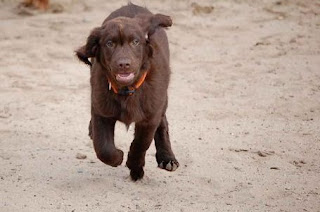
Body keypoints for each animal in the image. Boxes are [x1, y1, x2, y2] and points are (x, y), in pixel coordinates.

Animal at [76, 3, 179, 180]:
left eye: (135, 42)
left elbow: (141, 143)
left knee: (163, 122)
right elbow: (103, 147)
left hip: (162, 99)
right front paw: (118, 157)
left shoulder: (150, 116)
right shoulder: (101, 111)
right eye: (109, 43)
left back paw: (167, 158)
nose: (124, 64)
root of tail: (132, 5)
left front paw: (135, 168)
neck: (127, 90)